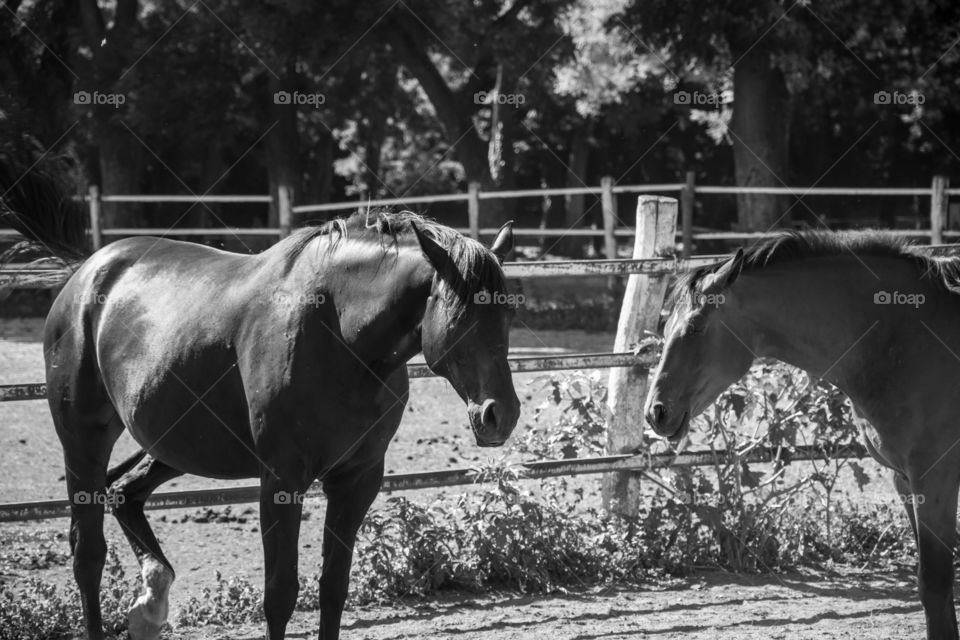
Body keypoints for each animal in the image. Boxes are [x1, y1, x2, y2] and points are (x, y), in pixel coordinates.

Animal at [1, 164, 524, 640]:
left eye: (506, 314)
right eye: (461, 316)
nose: (500, 415)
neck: (340, 335)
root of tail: (87, 272)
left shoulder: (356, 481)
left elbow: (333, 588)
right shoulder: (281, 480)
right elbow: (280, 595)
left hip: (175, 445)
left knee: (124, 493)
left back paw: (150, 602)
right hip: (83, 441)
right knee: (87, 554)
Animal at [644, 231, 960, 640]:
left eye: (696, 326)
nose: (656, 412)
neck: (903, 335)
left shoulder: (935, 481)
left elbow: (936, 586)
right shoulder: (904, 480)